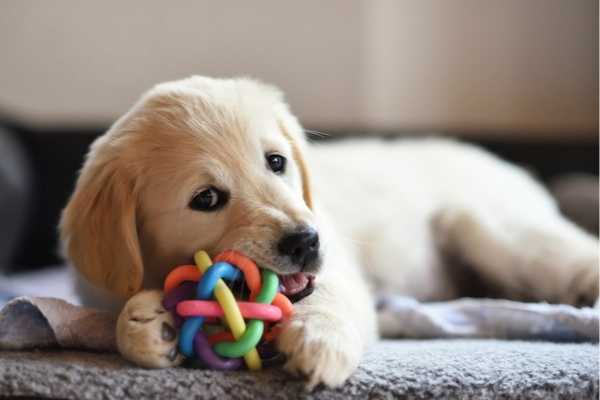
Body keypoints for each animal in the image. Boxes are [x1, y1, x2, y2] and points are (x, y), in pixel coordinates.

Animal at [59, 75, 596, 388]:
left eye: (276, 162)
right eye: (206, 199)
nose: (305, 241)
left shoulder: (337, 267)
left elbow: (328, 299)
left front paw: (319, 341)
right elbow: (119, 315)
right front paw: (146, 324)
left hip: (490, 229)